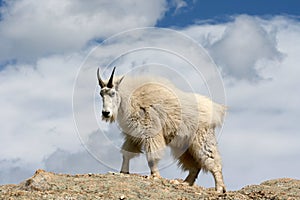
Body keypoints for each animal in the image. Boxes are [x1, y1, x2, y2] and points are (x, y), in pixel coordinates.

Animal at [97, 67, 226, 194]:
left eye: (113, 93)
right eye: (101, 94)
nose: (105, 113)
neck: (130, 99)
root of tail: (214, 111)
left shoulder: (150, 132)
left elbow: (152, 156)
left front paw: (155, 176)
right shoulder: (133, 135)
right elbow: (127, 154)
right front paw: (123, 172)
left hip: (201, 138)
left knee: (213, 161)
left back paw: (219, 188)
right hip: (183, 145)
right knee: (195, 166)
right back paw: (185, 183)